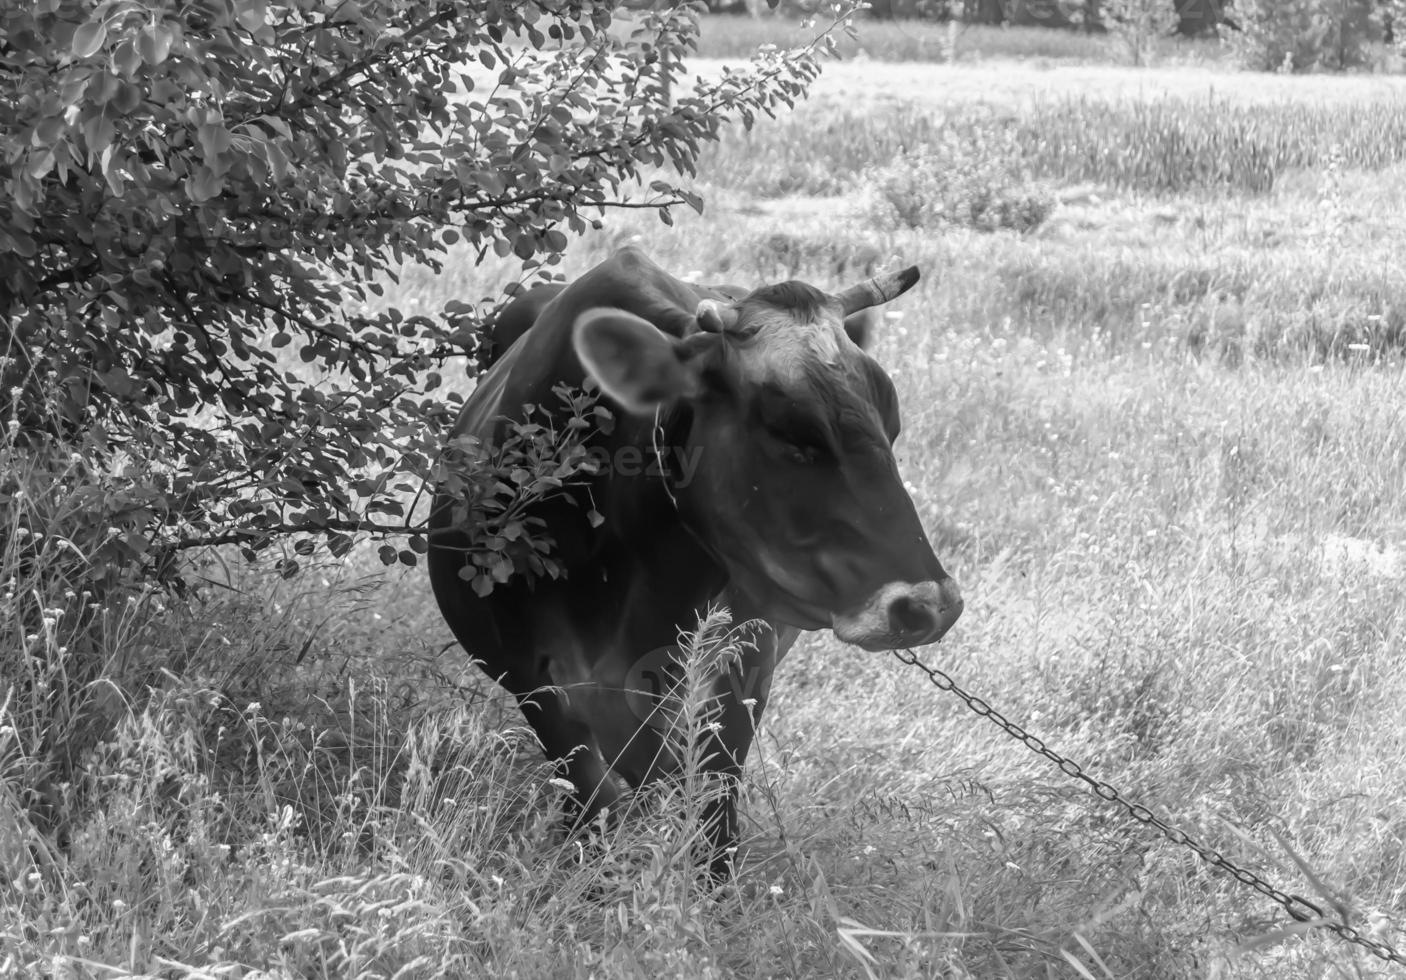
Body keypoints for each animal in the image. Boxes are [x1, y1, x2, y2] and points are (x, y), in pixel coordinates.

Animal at [421, 248, 961, 877]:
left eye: (893, 428)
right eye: (791, 434)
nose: (929, 605)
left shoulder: (743, 665)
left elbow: (710, 808)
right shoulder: (536, 681)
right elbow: (597, 806)